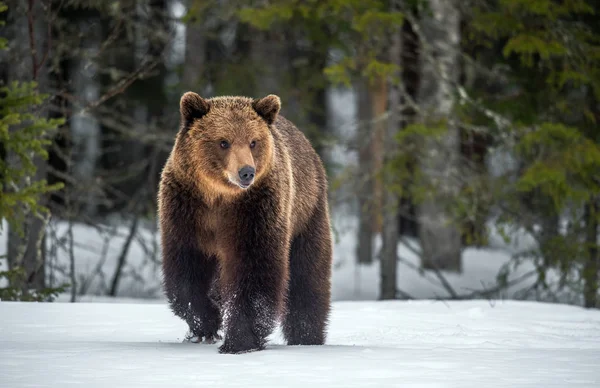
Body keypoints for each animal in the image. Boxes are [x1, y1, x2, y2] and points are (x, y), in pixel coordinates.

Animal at [158, 91, 332, 354]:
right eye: (223, 142)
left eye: (253, 142)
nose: (246, 172)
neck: (219, 197)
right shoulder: (186, 212)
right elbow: (186, 274)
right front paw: (208, 323)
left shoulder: (255, 211)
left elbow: (254, 270)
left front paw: (239, 340)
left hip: (307, 213)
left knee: (307, 275)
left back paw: (306, 336)